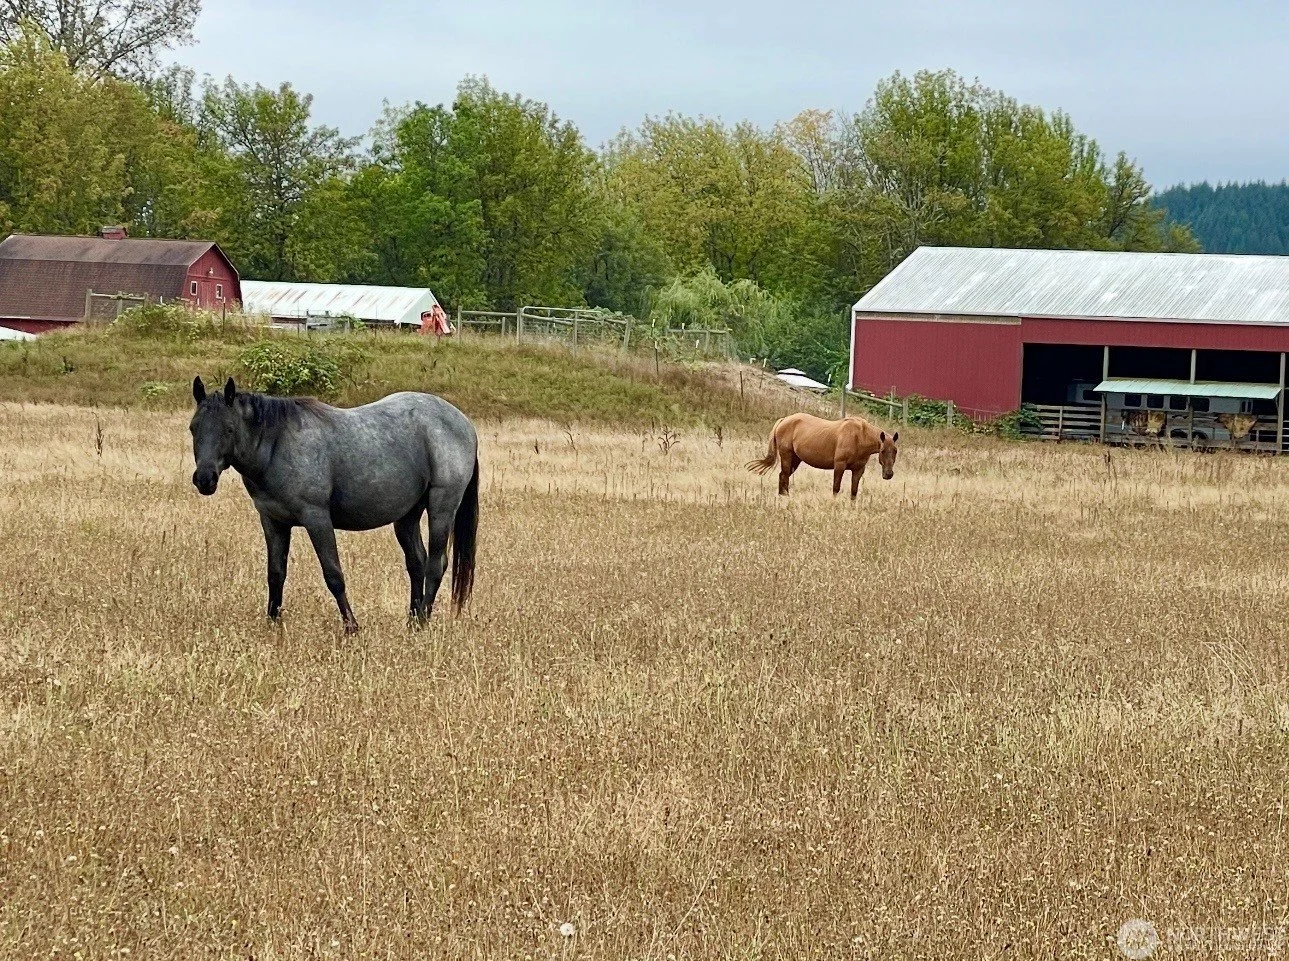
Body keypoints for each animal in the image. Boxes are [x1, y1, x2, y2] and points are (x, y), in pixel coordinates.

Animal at [189, 377, 479, 633]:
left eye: (228, 429)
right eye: (193, 428)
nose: (205, 479)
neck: (276, 446)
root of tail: (464, 423)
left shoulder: (316, 519)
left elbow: (333, 575)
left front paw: (351, 627)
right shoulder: (273, 521)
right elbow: (275, 574)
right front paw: (272, 624)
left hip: (442, 508)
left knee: (436, 564)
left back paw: (423, 622)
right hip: (407, 516)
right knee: (417, 563)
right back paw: (412, 620)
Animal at [747, 412, 898, 497]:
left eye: (895, 451)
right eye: (883, 451)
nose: (888, 474)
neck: (859, 436)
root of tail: (784, 420)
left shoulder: (858, 470)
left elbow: (854, 491)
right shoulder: (839, 466)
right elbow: (836, 488)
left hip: (795, 460)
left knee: (783, 476)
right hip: (787, 457)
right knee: (784, 476)